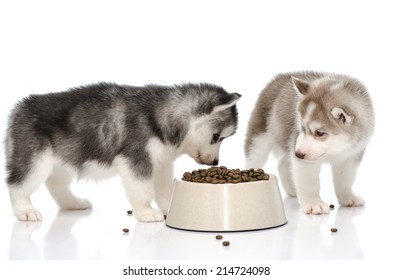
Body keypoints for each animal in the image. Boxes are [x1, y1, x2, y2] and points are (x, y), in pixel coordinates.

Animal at [5, 82, 239, 222]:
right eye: (216, 136)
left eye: (222, 138)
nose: (216, 163)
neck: (160, 117)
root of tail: (18, 107)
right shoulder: (135, 158)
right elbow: (142, 189)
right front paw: (146, 212)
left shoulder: (161, 163)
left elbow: (164, 189)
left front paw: (168, 209)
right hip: (36, 158)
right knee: (18, 184)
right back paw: (25, 210)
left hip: (65, 157)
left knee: (55, 183)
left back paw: (72, 203)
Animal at [245, 71, 374, 214]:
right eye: (302, 127)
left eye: (319, 133)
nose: (298, 154)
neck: (335, 150)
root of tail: (279, 77)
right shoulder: (303, 159)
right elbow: (308, 182)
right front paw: (314, 203)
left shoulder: (351, 156)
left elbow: (345, 179)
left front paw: (348, 196)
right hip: (260, 138)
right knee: (254, 159)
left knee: (283, 164)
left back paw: (292, 189)